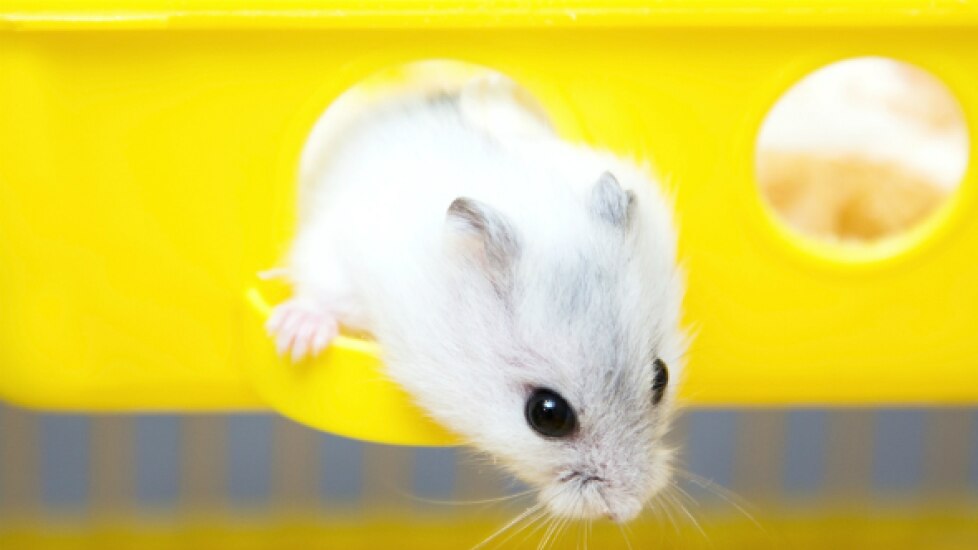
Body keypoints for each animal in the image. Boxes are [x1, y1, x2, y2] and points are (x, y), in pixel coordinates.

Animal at [266, 74, 686, 523]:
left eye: (661, 377)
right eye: (547, 414)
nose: (628, 510)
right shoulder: (339, 254)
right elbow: (321, 292)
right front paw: (292, 342)